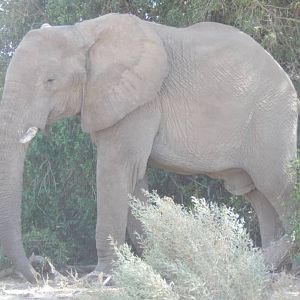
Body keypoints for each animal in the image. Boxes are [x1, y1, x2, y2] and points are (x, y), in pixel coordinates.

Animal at [0, 12, 298, 284]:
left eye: (50, 80)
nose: (40, 275)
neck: (83, 32)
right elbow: (133, 180)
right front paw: (156, 267)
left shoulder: (140, 101)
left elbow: (115, 171)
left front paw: (101, 278)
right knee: (257, 194)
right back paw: (267, 268)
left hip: (271, 120)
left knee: (276, 184)